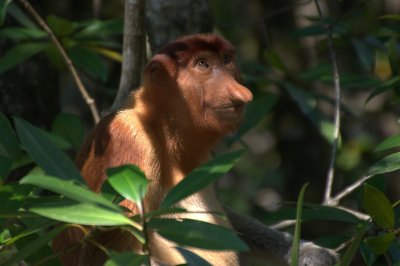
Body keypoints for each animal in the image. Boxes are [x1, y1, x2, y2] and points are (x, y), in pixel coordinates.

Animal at [52, 34, 338, 264]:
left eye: (226, 60)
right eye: (203, 64)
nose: (241, 92)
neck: (163, 129)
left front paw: (312, 254)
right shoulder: (128, 142)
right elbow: (101, 250)